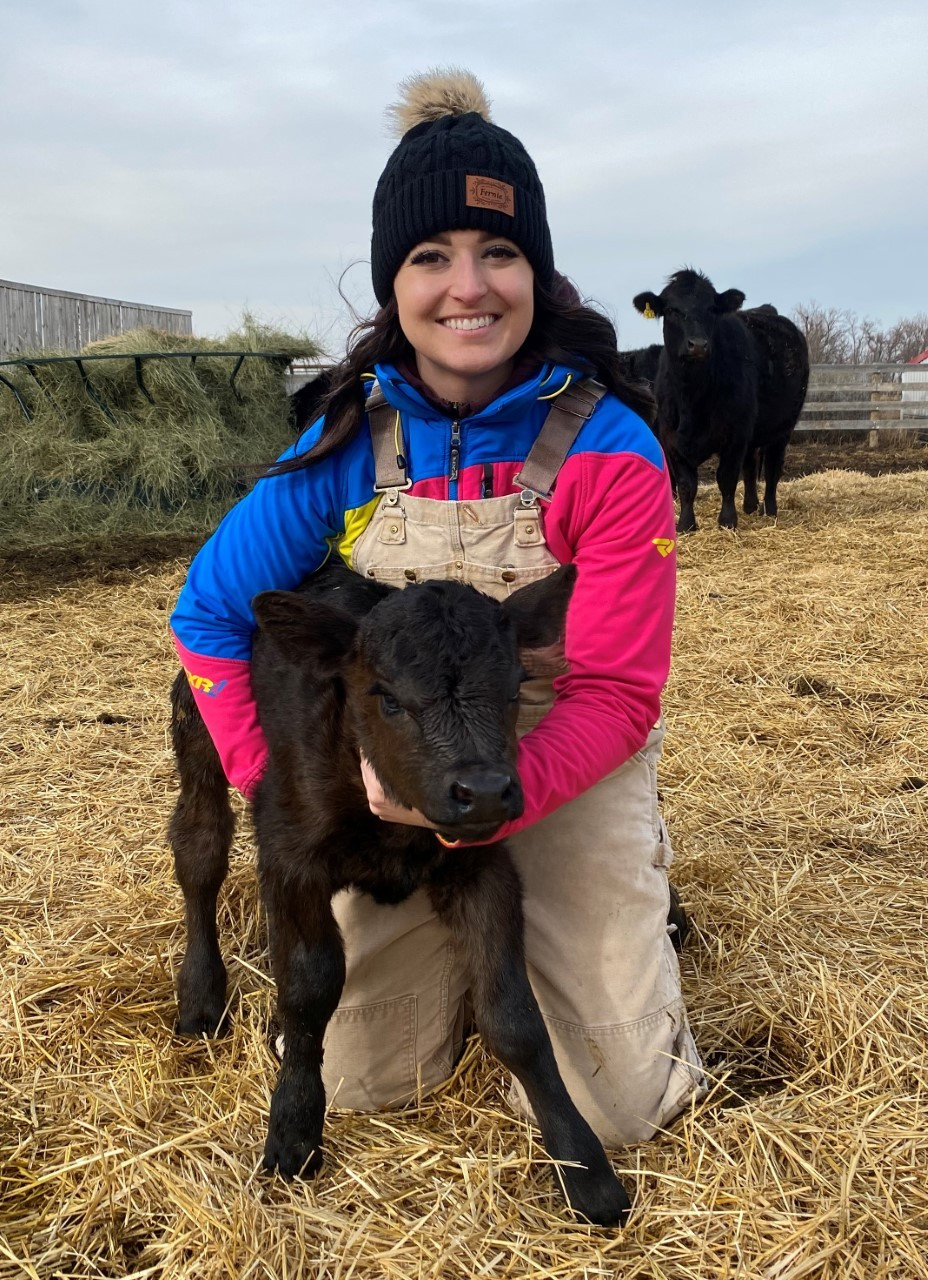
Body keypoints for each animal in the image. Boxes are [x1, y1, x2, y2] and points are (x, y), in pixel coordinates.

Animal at [168, 560, 631, 1227]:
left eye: (514, 690)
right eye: (387, 698)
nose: (483, 791)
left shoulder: (483, 865)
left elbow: (514, 1018)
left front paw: (586, 1168)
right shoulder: (289, 854)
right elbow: (308, 989)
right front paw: (293, 1130)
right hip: (197, 734)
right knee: (199, 850)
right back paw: (202, 995)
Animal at [633, 270, 809, 532]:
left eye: (712, 308)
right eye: (672, 309)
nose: (698, 344)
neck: (692, 398)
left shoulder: (735, 434)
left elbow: (726, 478)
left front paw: (727, 521)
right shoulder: (670, 436)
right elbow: (686, 484)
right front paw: (686, 524)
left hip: (783, 427)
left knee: (772, 468)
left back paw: (769, 510)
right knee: (750, 465)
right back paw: (750, 506)